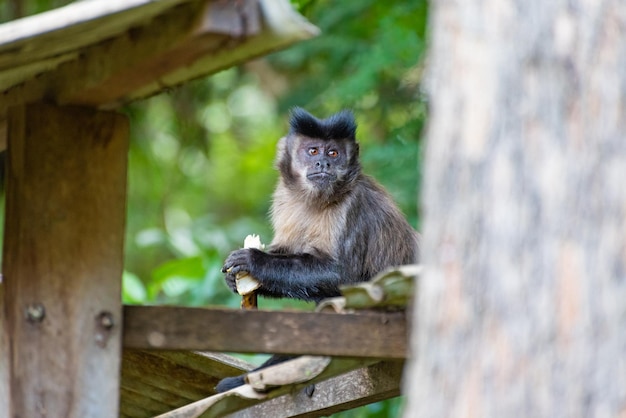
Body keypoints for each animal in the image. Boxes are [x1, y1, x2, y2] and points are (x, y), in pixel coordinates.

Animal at [216, 107, 420, 392]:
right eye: (313, 151)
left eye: (333, 153)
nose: (323, 164)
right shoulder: (284, 197)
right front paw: (233, 279)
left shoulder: (353, 204)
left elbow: (344, 276)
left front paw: (254, 260)